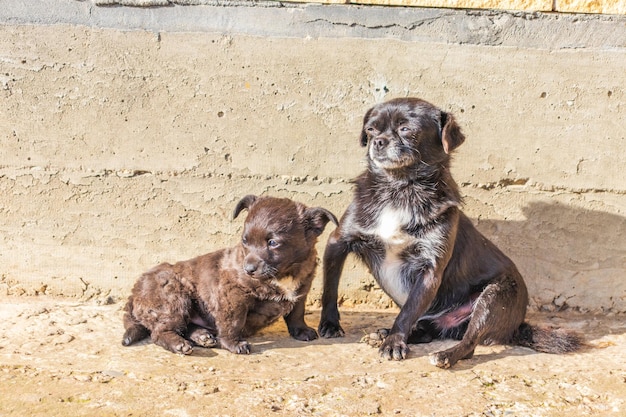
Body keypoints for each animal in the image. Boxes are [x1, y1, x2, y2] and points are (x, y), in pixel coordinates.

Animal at [122, 195, 336, 354]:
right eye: (245, 240)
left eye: (273, 243)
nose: (248, 269)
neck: (283, 274)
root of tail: (134, 292)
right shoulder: (233, 295)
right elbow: (233, 321)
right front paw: (233, 344)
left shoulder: (302, 290)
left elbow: (296, 314)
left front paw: (302, 331)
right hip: (174, 299)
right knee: (159, 332)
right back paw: (179, 344)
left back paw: (202, 336)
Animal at [316, 97, 580, 368]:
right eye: (370, 130)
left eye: (406, 129)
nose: (377, 141)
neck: (400, 188)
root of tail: (517, 326)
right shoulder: (338, 242)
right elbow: (330, 289)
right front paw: (330, 324)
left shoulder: (430, 270)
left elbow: (407, 312)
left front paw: (394, 341)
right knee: (426, 330)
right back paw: (384, 334)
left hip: (493, 298)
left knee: (469, 343)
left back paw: (443, 353)